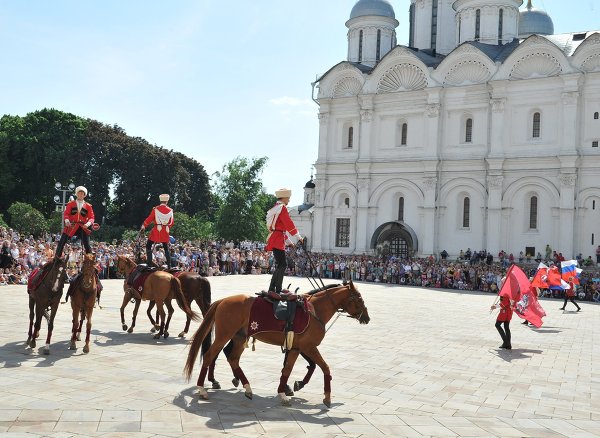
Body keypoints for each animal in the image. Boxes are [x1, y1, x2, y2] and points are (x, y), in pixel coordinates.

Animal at [183, 280, 370, 408]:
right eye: (359, 299)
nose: (367, 318)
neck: (315, 310)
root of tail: (222, 300)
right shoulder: (309, 347)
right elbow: (324, 367)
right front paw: (327, 397)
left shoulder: (296, 348)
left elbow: (287, 370)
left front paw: (283, 393)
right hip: (224, 335)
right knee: (210, 355)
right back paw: (202, 389)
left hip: (239, 337)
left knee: (233, 358)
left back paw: (247, 388)